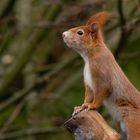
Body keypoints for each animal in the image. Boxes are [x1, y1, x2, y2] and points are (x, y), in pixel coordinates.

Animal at [62, 11, 140, 139]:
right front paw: (82, 106)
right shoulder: (89, 83)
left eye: (80, 33)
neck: (89, 57)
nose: (63, 34)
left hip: (132, 122)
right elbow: (89, 95)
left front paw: (91, 106)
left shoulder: (101, 73)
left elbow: (101, 93)